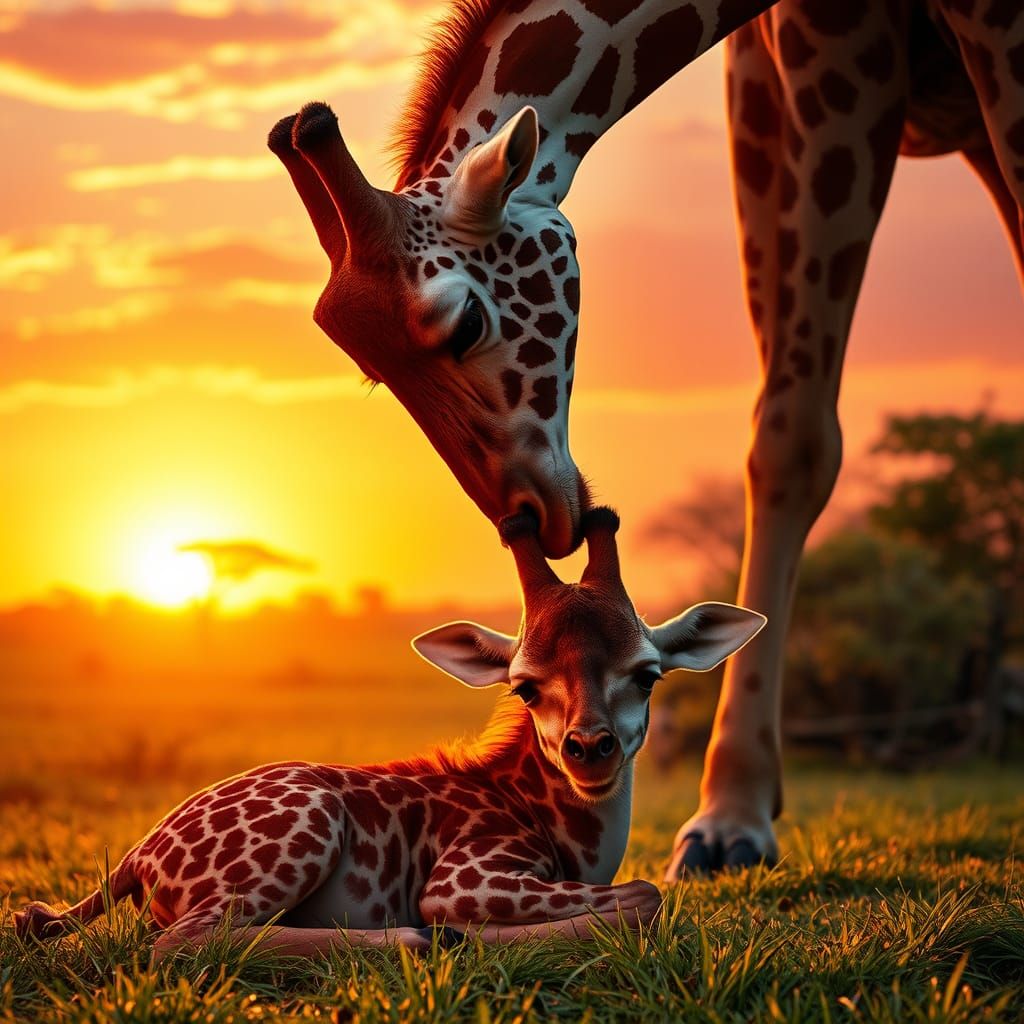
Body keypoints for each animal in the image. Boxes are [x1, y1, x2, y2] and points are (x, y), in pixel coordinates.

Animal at [13, 509, 765, 959]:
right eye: (525, 685)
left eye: (647, 674)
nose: (589, 749)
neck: (563, 830)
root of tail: (140, 856)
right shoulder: (465, 876)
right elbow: (646, 895)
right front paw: (462, 934)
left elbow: (645, 894)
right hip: (303, 831)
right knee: (182, 943)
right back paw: (417, 937)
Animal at [269, 1, 1024, 877]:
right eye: (369, 371)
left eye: (462, 322)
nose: (533, 515)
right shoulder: (777, 66)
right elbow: (789, 437)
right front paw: (730, 818)